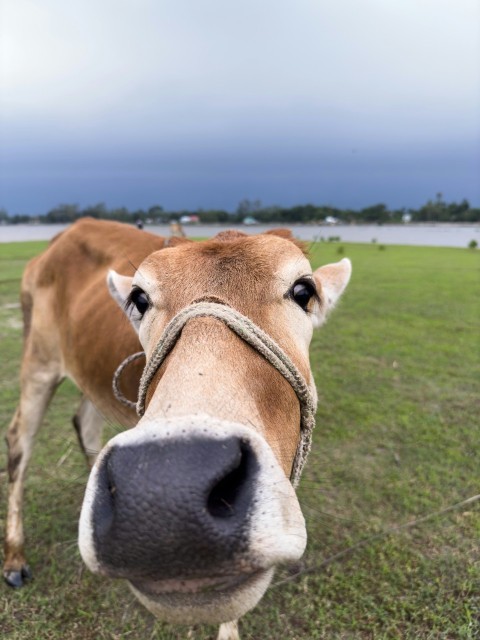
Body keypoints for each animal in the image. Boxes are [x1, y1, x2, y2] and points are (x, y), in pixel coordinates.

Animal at [3, 218, 351, 640]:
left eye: (304, 291)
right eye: (139, 299)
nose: (166, 499)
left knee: (83, 423)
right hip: (38, 361)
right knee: (19, 441)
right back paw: (15, 559)